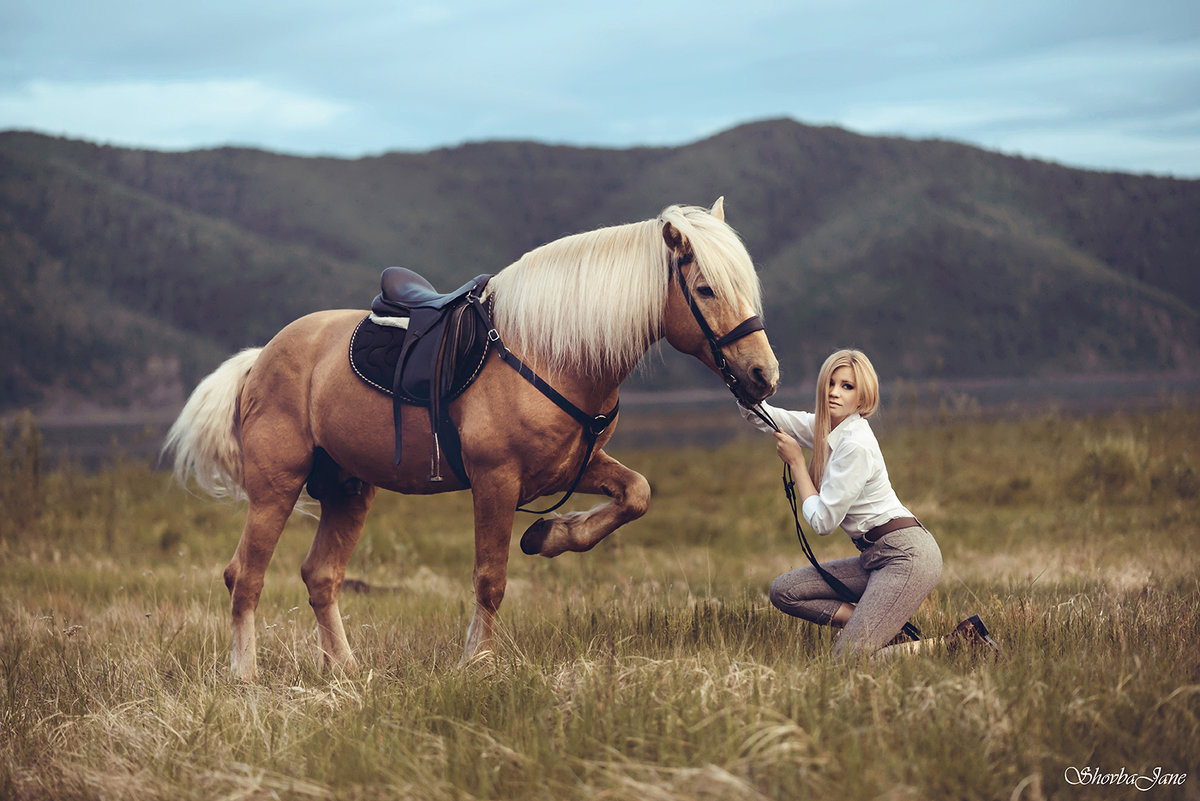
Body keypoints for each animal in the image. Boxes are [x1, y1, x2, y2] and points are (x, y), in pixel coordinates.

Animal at [164, 196, 777, 681]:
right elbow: (490, 579)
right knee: (245, 577)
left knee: (320, 577)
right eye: (706, 289)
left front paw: (550, 535)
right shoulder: (495, 481)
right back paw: (245, 674)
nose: (763, 375)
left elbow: (637, 493)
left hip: (349, 491)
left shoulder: (574, 465)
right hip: (277, 487)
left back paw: (346, 669)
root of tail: (260, 358)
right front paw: (477, 662)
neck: (548, 351)